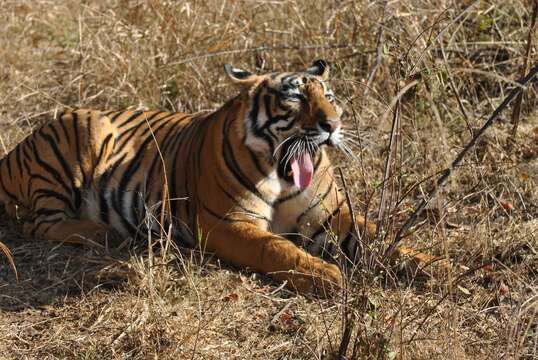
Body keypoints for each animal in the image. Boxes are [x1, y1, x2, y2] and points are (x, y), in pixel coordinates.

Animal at [0, 59, 434, 296]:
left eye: (329, 96)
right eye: (295, 97)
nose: (333, 125)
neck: (283, 173)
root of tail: (13, 150)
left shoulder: (330, 216)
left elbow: (382, 238)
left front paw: (439, 268)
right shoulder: (227, 223)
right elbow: (276, 249)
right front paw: (327, 275)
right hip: (83, 131)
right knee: (38, 224)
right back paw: (101, 233)